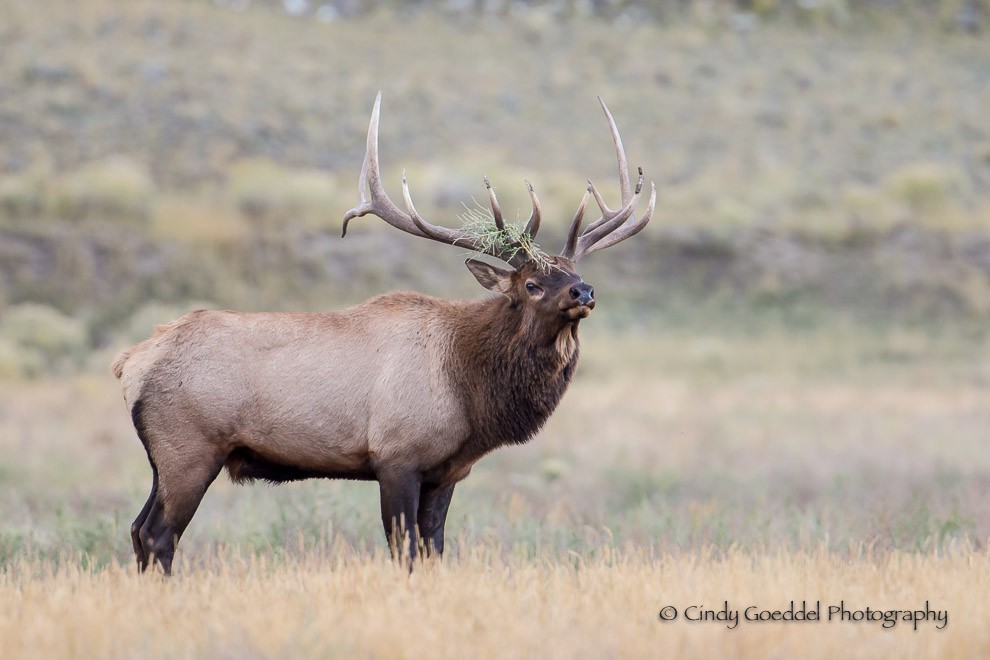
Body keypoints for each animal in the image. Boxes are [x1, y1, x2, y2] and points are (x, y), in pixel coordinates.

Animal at [112, 93, 656, 572]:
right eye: (531, 283)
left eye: (573, 271)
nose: (584, 291)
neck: (471, 389)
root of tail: (128, 363)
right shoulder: (397, 456)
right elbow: (405, 550)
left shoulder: (446, 473)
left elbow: (435, 550)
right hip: (188, 449)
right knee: (159, 534)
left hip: (164, 460)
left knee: (138, 530)